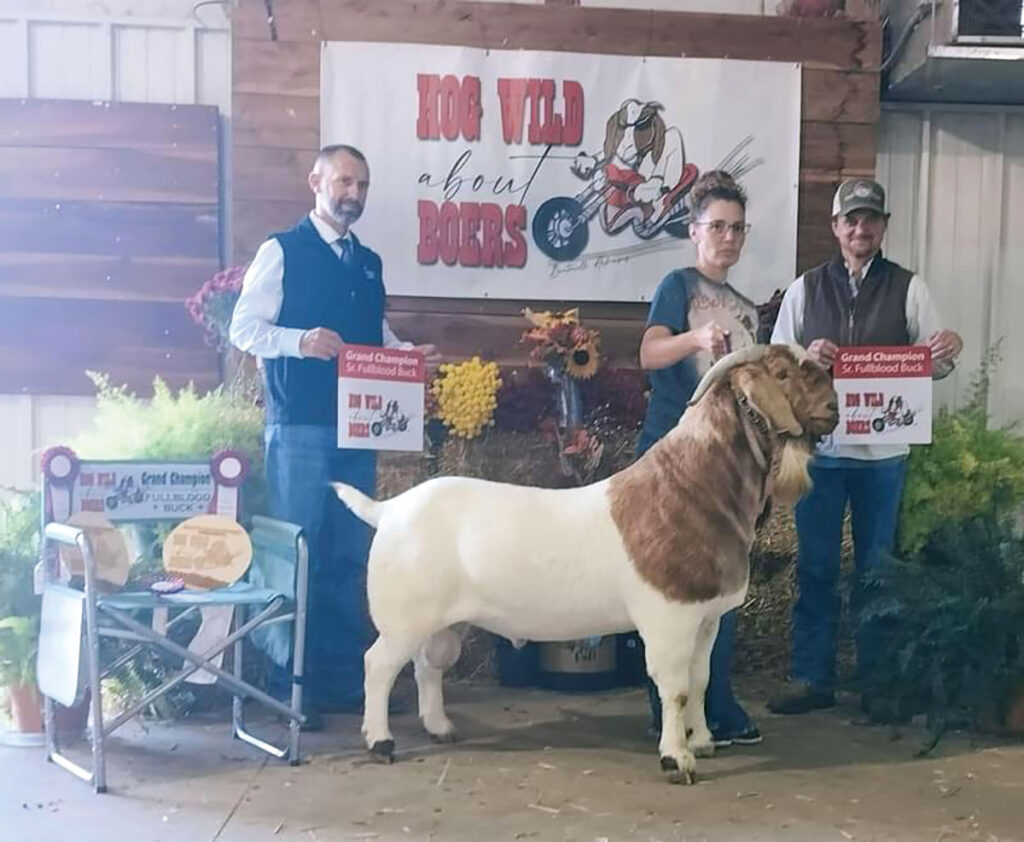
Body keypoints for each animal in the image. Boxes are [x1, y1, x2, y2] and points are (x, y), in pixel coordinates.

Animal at [335, 342, 839, 786]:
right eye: (782, 374)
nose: (834, 406)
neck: (689, 487)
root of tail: (389, 509)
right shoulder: (669, 617)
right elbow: (673, 687)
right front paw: (676, 759)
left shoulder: (708, 617)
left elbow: (700, 681)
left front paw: (702, 742)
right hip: (403, 617)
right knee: (377, 664)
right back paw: (380, 742)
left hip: (441, 619)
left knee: (428, 665)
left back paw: (440, 727)